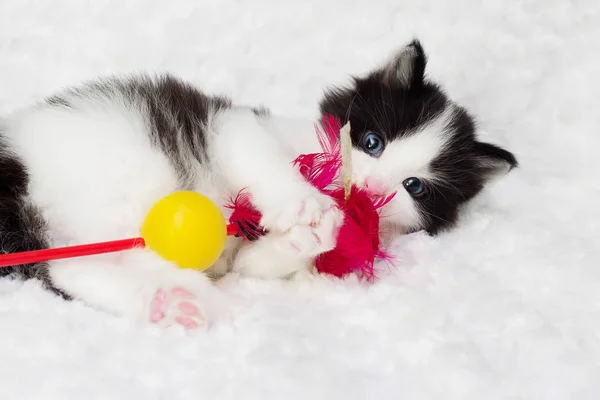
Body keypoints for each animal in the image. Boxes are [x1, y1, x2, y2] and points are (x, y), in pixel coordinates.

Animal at [0, 39, 516, 330]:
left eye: (414, 187)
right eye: (373, 142)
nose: (369, 183)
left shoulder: (245, 264)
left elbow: (254, 264)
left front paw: (309, 237)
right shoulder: (233, 124)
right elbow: (259, 157)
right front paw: (304, 203)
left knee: (74, 270)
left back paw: (171, 303)